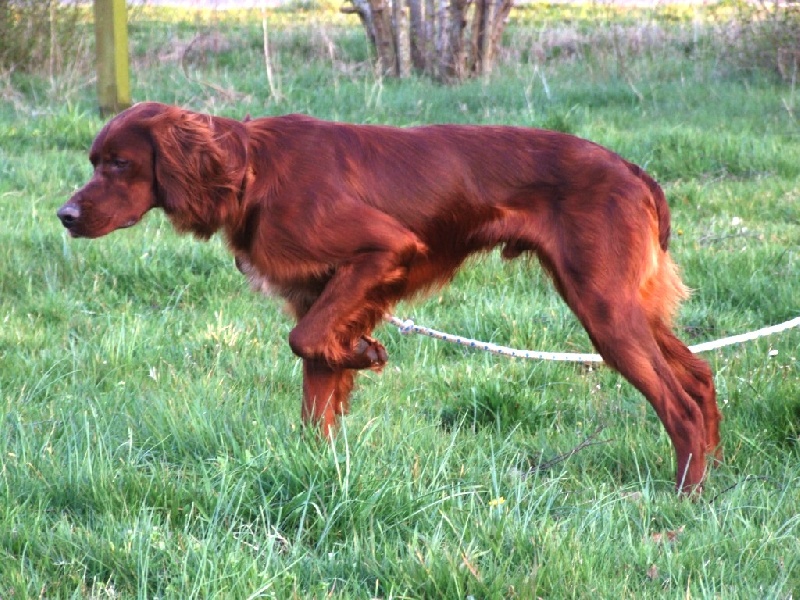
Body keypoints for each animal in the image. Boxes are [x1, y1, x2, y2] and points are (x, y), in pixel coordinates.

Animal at [56, 101, 720, 490]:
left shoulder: (385, 249)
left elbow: (305, 341)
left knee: (678, 403)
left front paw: (364, 352)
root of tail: (632, 171)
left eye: (119, 164)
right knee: (700, 376)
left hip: (603, 308)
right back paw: (713, 466)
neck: (251, 174)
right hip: (622, 304)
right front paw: (318, 463)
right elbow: (315, 380)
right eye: (94, 160)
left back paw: (681, 499)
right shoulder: (321, 292)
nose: (65, 216)